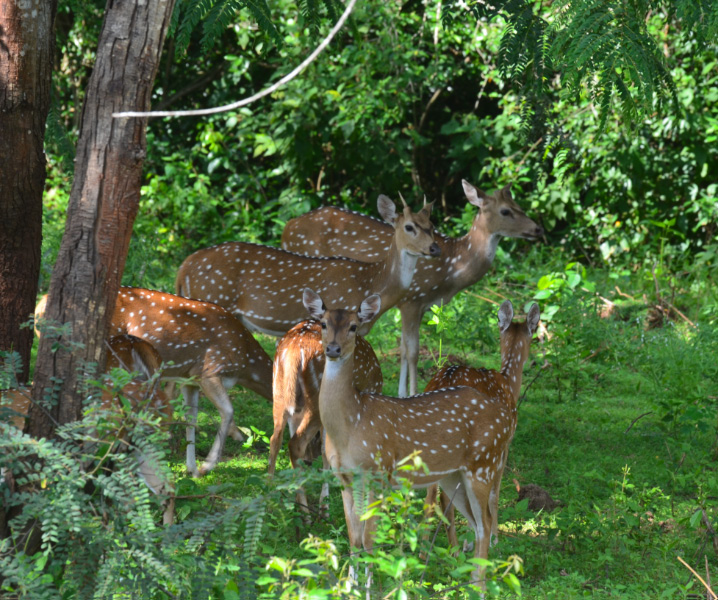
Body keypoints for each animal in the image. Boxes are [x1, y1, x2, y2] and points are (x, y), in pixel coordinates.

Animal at [110, 287, 274, 477]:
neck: (246, 364)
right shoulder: (209, 370)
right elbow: (228, 411)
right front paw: (207, 466)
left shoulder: (189, 380)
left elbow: (191, 419)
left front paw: (192, 469)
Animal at [268, 318, 383, 515]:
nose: (309, 460)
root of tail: (293, 350)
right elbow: (328, 448)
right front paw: (325, 504)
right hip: (316, 400)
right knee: (295, 443)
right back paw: (305, 511)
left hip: (280, 391)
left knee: (276, 438)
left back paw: (269, 495)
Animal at [282, 180, 543, 396]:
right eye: (506, 210)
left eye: (518, 204)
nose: (538, 229)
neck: (451, 270)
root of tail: (287, 227)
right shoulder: (412, 299)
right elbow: (412, 351)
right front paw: (411, 393)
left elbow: (404, 347)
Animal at [304, 287, 540, 591]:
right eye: (323, 324)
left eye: (354, 326)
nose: (333, 349)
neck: (352, 423)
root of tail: (503, 412)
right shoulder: (345, 477)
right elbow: (353, 537)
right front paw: (349, 588)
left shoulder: (378, 471)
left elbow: (369, 540)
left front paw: (370, 589)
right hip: (453, 475)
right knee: (474, 523)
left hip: (484, 464)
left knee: (485, 522)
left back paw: (477, 585)